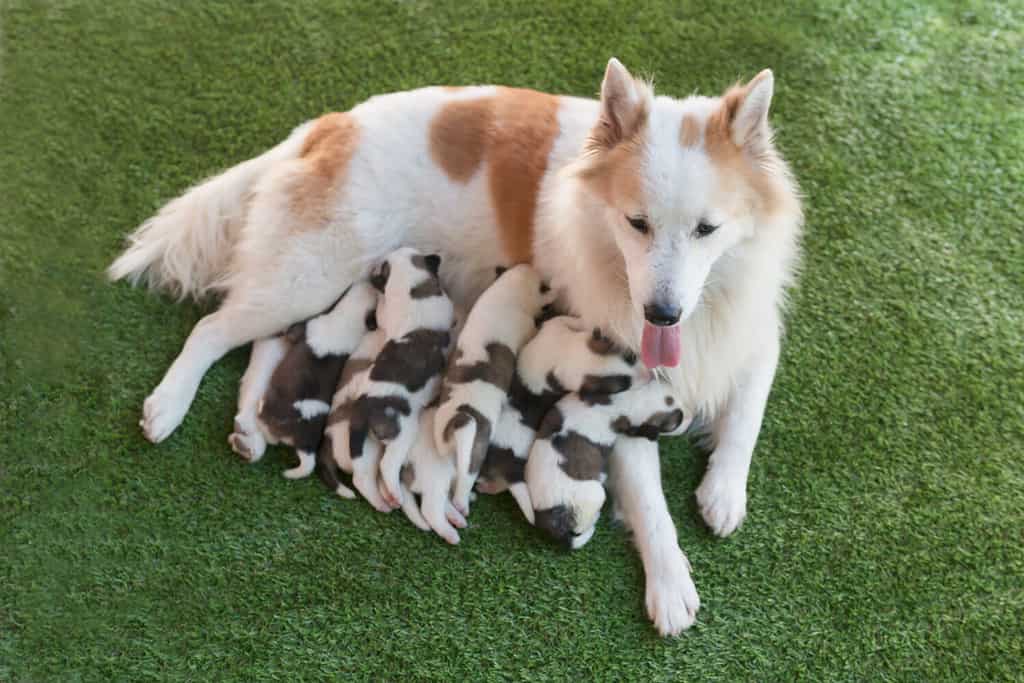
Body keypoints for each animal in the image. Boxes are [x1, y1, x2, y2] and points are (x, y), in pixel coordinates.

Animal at [228, 280, 380, 479]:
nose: (369, 282)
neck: (349, 317)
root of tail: (304, 446)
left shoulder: (303, 329)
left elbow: (291, 332)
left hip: (270, 412)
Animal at [348, 245, 452, 507]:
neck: (411, 286)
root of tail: (364, 405)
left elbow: (382, 315)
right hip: (402, 432)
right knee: (387, 464)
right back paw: (394, 493)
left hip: (364, 443)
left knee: (361, 475)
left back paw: (381, 499)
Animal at [436, 264, 557, 516]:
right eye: (540, 282)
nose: (529, 265)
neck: (505, 291)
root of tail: (455, 420)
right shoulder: (528, 324)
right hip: (474, 452)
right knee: (464, 483)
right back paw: (464, 504)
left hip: (451, 457)